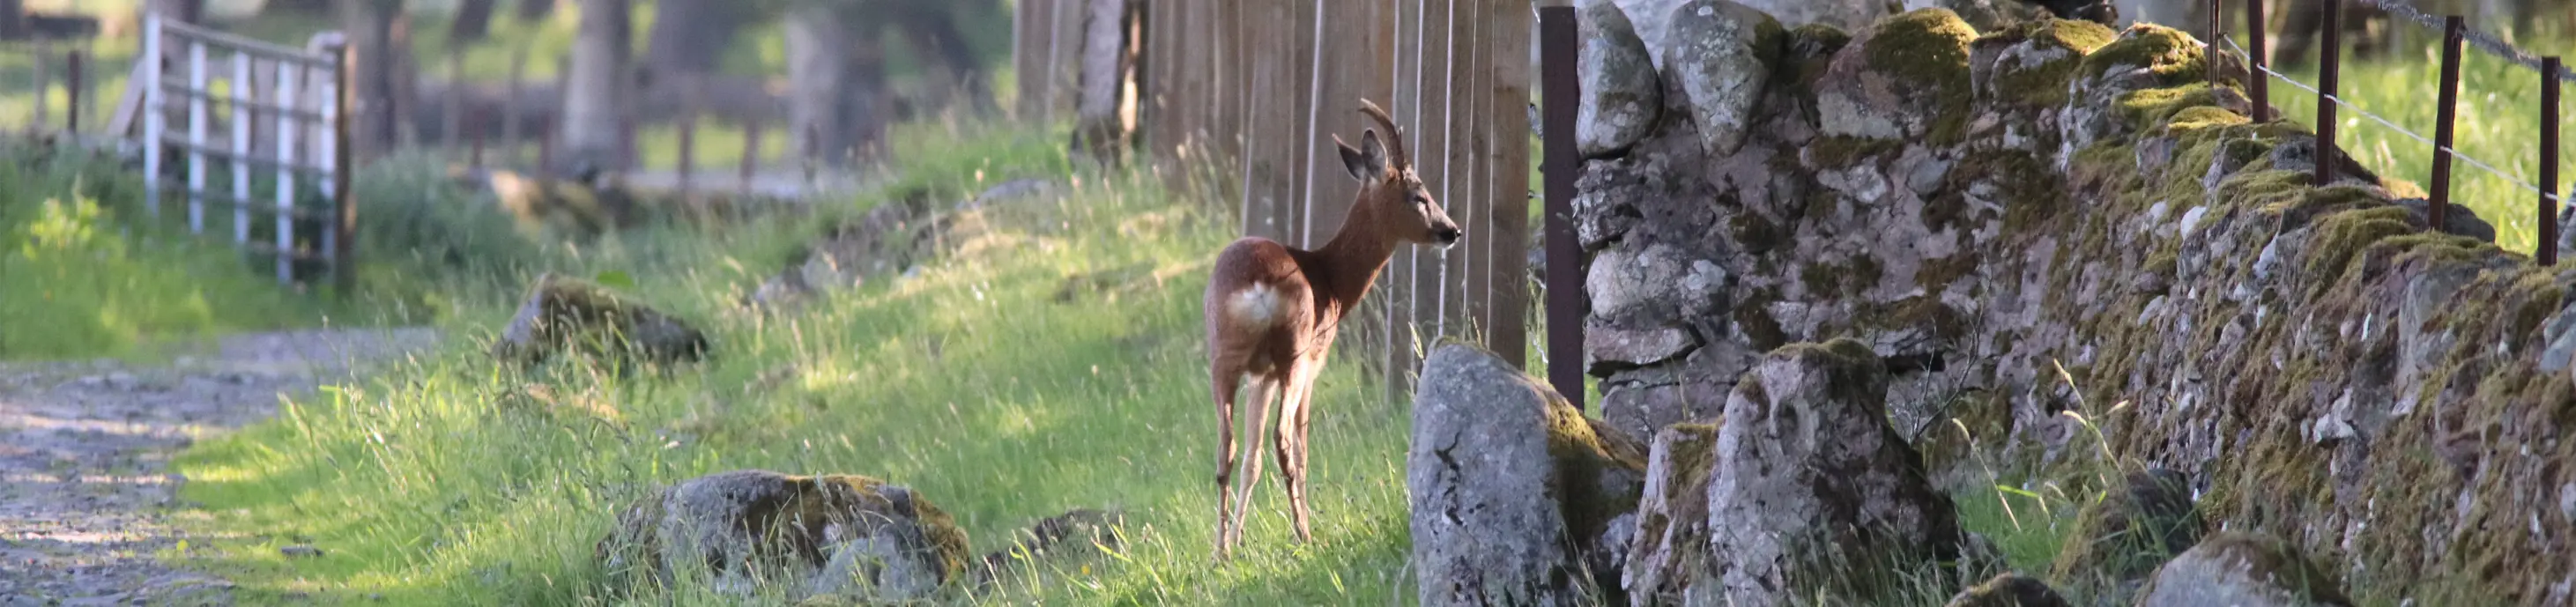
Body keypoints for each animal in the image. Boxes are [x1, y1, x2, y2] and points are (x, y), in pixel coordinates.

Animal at [1203, 99, 1461, 559]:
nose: (1451, 230)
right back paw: (1303, 534)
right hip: (1292, 355)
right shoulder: (1312, 363)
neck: (1331, 279)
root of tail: (1257, 286)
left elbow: (1251, 457)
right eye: (1419, 194)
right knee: (1285, 441)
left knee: (1226, 447)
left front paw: (1236, 538)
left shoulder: (1259, 375)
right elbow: (1300, 447)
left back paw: (1219, 552)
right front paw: (1299, 528)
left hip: (1223, 358)